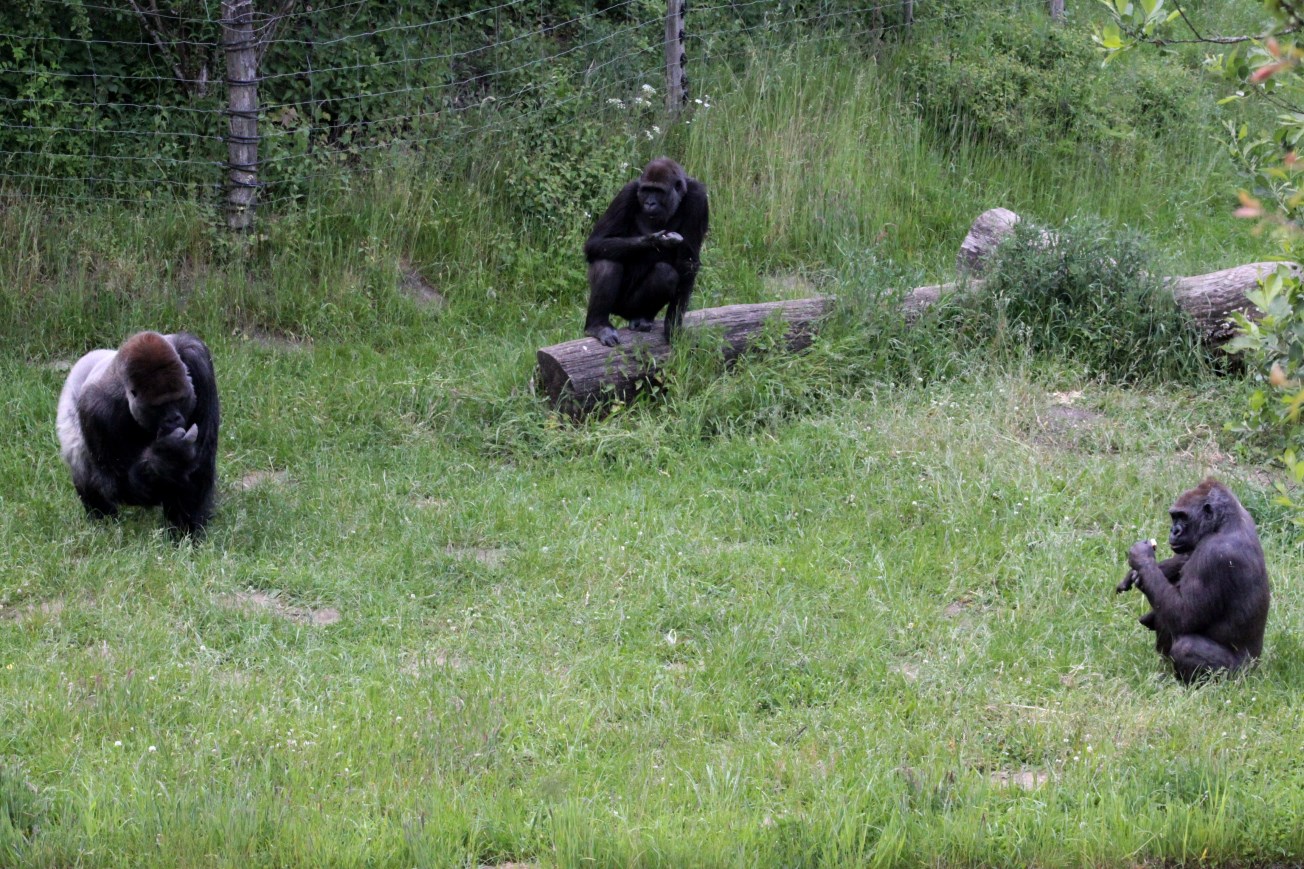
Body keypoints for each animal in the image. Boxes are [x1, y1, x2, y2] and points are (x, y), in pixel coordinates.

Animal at [56, 331, 220, 537]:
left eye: (180, 399)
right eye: (158, 407)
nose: (173, 419)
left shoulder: (198, 359)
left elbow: (201, 461)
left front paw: (186, 529)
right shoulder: (95, 408)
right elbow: (120, 484)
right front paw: (166, 457)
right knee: (81, 464)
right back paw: (103, 521)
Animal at [583, 157, 709, 347]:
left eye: (658, 191)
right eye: (646, 190)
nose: (650, 203)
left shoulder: (698, 198)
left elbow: (687, 263)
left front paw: (673, 327)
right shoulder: (627, 192)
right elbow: (596, 243)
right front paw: (654, 240)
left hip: (631, 309)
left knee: (665, 273)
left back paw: (642, 318)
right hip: (617, 306)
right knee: (607, 261)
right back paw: (597, 325)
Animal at [1118, 479, 1270, 683]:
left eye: (1183, 517)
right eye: (1174, 517)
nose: (1174, 531)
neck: (1225, 523)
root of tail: (1256, 670)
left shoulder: (1214, 555)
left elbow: (1184, 614)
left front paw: (1142, 559)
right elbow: (1185, 557)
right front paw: (1142, 572)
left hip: (1238, 675)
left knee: (1186, 647)